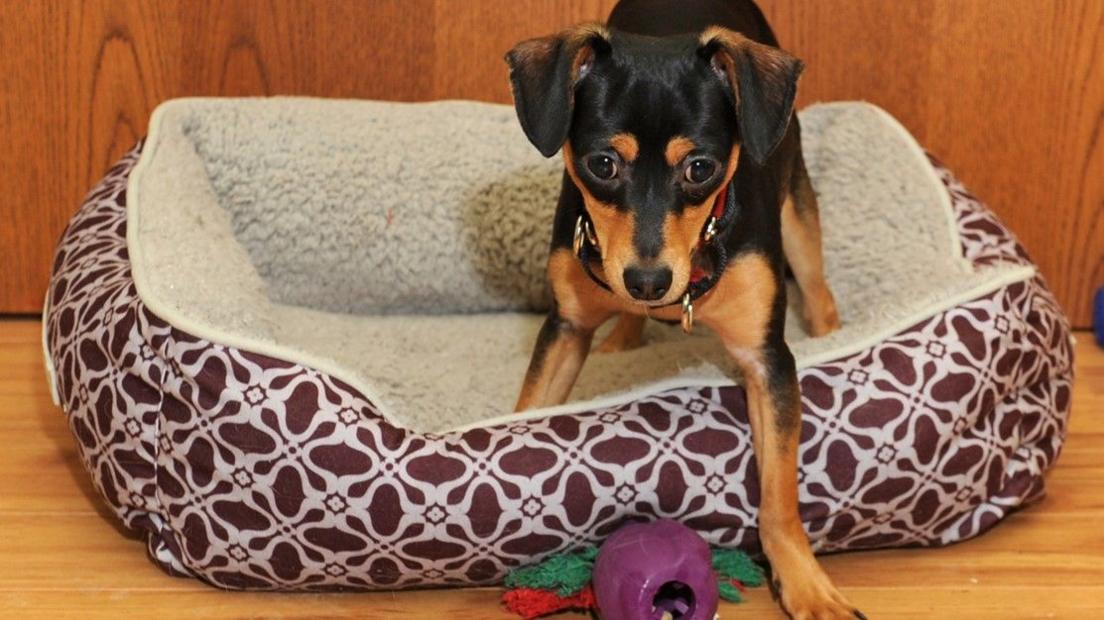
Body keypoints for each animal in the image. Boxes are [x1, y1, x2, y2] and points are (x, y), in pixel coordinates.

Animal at [505, 0, 856, 613]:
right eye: (602, 164)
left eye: (700, 168)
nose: (648, 282)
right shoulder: (565, 327)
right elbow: (530, 411)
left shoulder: (767, 360)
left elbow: (779, 497)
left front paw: (808, 586)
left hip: (797, 208)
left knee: (819, 288)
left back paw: (829, 335)